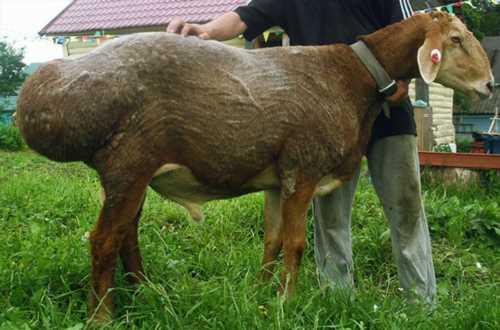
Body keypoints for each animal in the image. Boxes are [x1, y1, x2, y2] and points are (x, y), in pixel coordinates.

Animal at [14, 12, 492, 322]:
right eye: (455, 40)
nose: (488, 86)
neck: (354, 75)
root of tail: (43, 91)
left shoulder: (278, 180)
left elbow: (273, 240)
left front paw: (262, 292)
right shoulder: (302, 168)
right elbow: (296, 244)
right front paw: (286, 301)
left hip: (128, 173)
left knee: (126, 234)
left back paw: (143, 291)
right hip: (128, 165)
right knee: (103, 240)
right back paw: (102, 316)